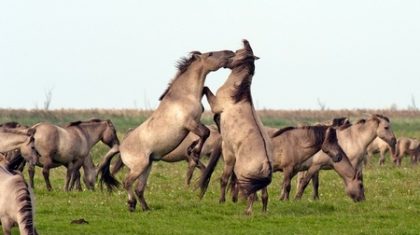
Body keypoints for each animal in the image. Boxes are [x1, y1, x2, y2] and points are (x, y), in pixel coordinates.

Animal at [99, 48, 236, 212]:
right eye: (210, 54)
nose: (230, 52)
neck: (184, 96)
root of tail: (120, 147)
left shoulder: (196, 122)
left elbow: (204, 133)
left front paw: (192, 150)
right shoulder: (189, 123)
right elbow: (205, 133)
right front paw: (195, 153)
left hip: (147, 166)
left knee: (139, 188)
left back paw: (146, 208)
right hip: (139, 167)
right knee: (127, 182)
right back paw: (132, 204)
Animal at [201, 40, 272, 215]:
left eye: (237, 52)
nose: (226, 58)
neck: (237, 95)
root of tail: (266, 163)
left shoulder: (216, 105)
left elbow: (224, 179)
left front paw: (221, 201)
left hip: (243, 176)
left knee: (251, 194)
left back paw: (248, 212)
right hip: (259, 182)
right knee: (264, 195)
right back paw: (263, 212)